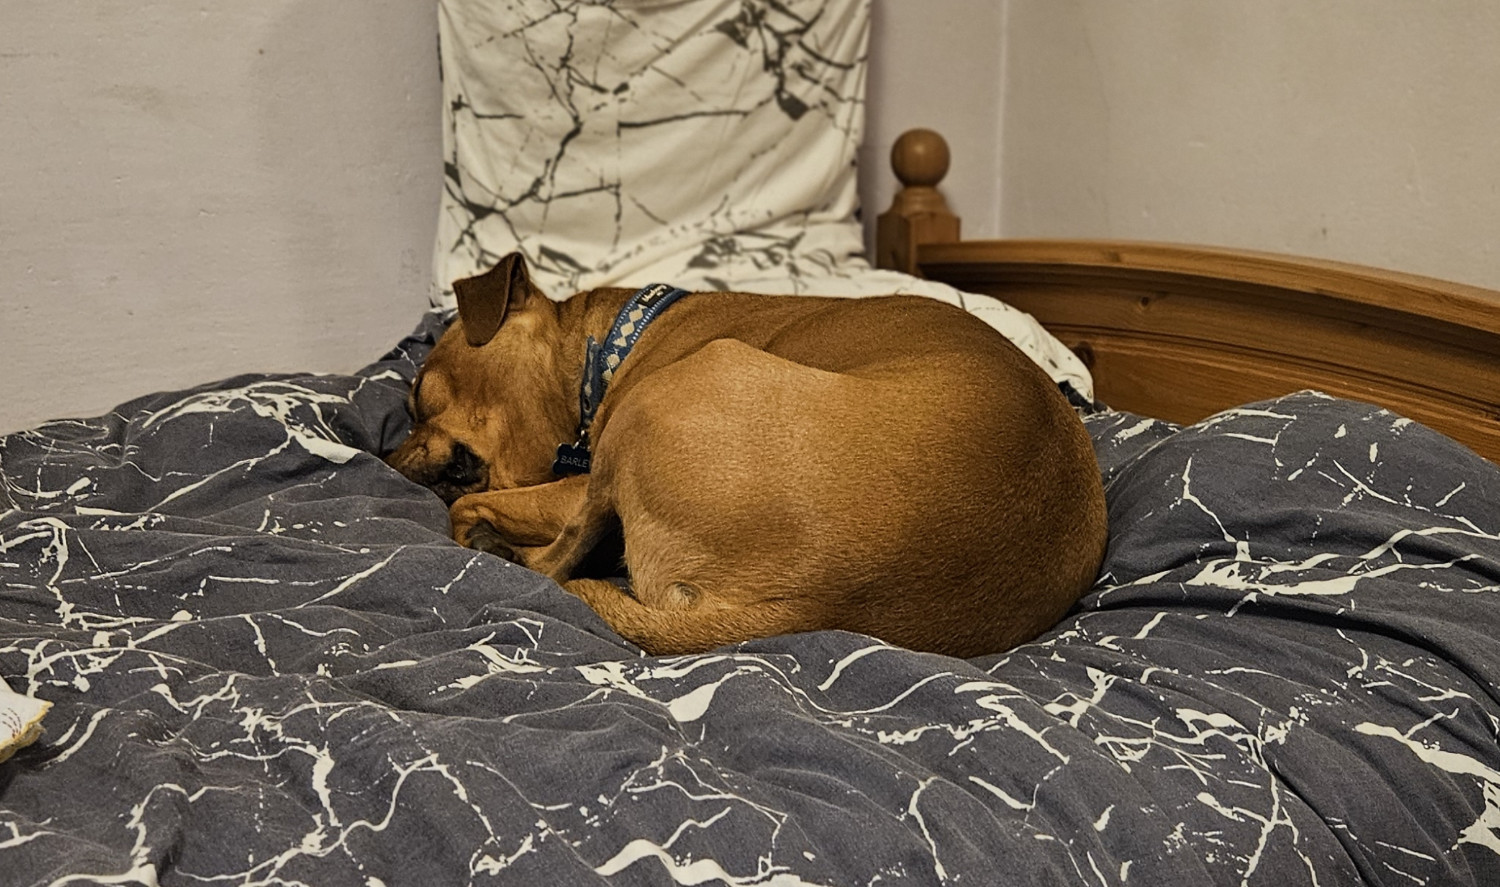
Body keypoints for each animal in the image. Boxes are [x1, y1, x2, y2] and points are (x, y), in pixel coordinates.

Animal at [387, 253, 1116, 657]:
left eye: (419, 395)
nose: (387, 454)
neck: (608, 347)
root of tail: (824, 604)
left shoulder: (571, 479)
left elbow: (486, 505)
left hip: (660, 405)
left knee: (550, 559)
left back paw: (499, 548)